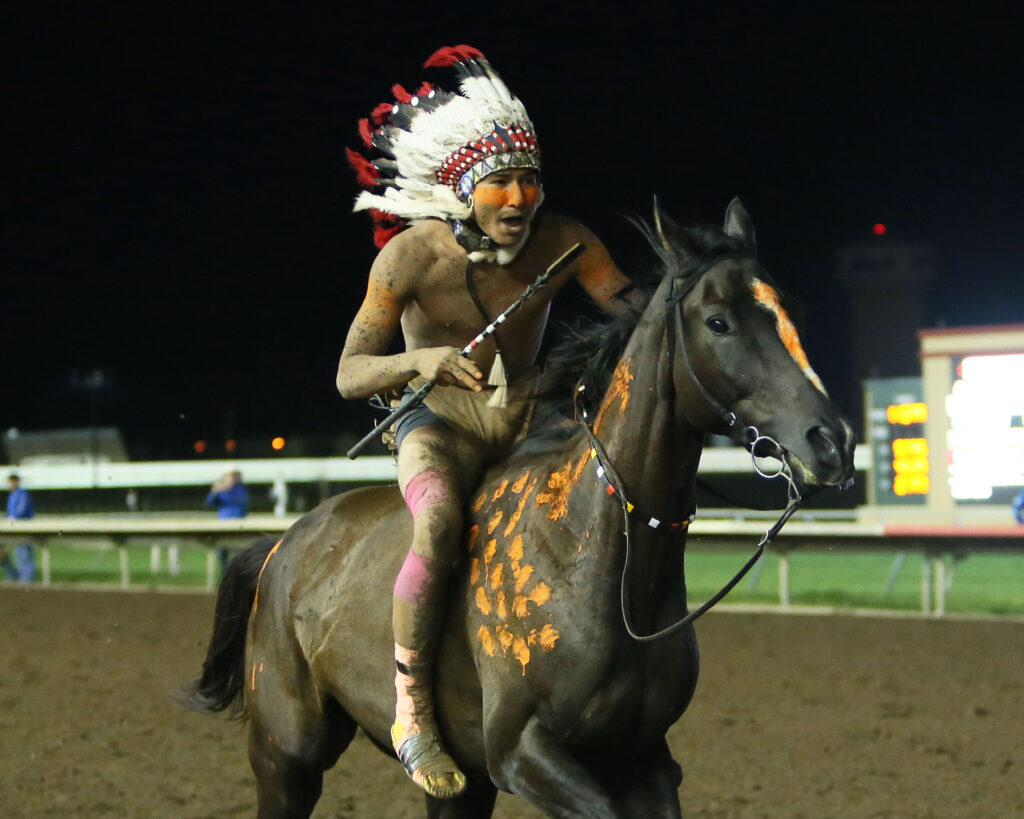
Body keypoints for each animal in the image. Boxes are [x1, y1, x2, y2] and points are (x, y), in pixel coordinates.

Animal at [186, 199, 856, 818]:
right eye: (718, 322)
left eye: (788, 311)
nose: (832, 442)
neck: (597, 554)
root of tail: (281, 546)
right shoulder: (520, 750)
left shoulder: (641, 757)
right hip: (287, 755)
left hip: (458, 789)